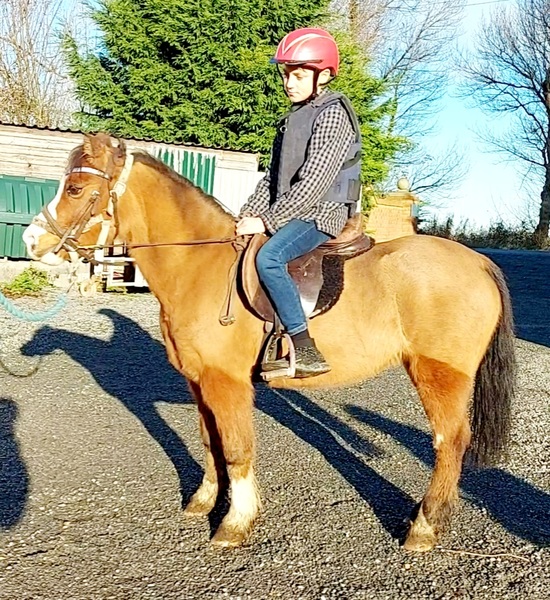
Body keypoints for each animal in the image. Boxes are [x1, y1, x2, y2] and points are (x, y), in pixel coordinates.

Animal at [21, 136, 516, 552]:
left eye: (77, 189)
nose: (30, 240)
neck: (201, 264)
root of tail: (478, 263)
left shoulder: (227, 383)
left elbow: (237, 448)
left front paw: (235, 523)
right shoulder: (200, 382)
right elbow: (211, 441)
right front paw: (204, 502)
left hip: (439, 375)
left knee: (449, 441)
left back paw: (424, 527)